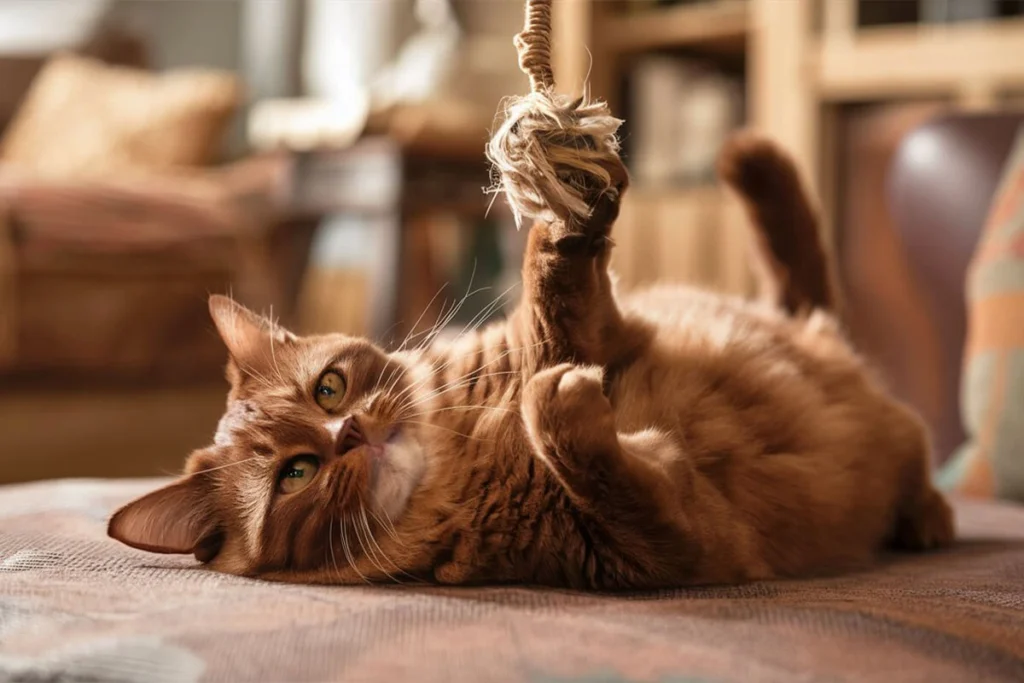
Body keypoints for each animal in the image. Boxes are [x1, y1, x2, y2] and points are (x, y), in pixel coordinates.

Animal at [108, 136, 954, 589]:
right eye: (295, 474)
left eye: (330, 387)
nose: (350, 432)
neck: (469, 452)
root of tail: (803, 321)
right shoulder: (679, 544)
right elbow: (606, 471)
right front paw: (562, 409)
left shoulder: (601, 330)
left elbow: (553, 287)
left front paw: (561, 193)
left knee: (917, 456)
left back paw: (928, 518)